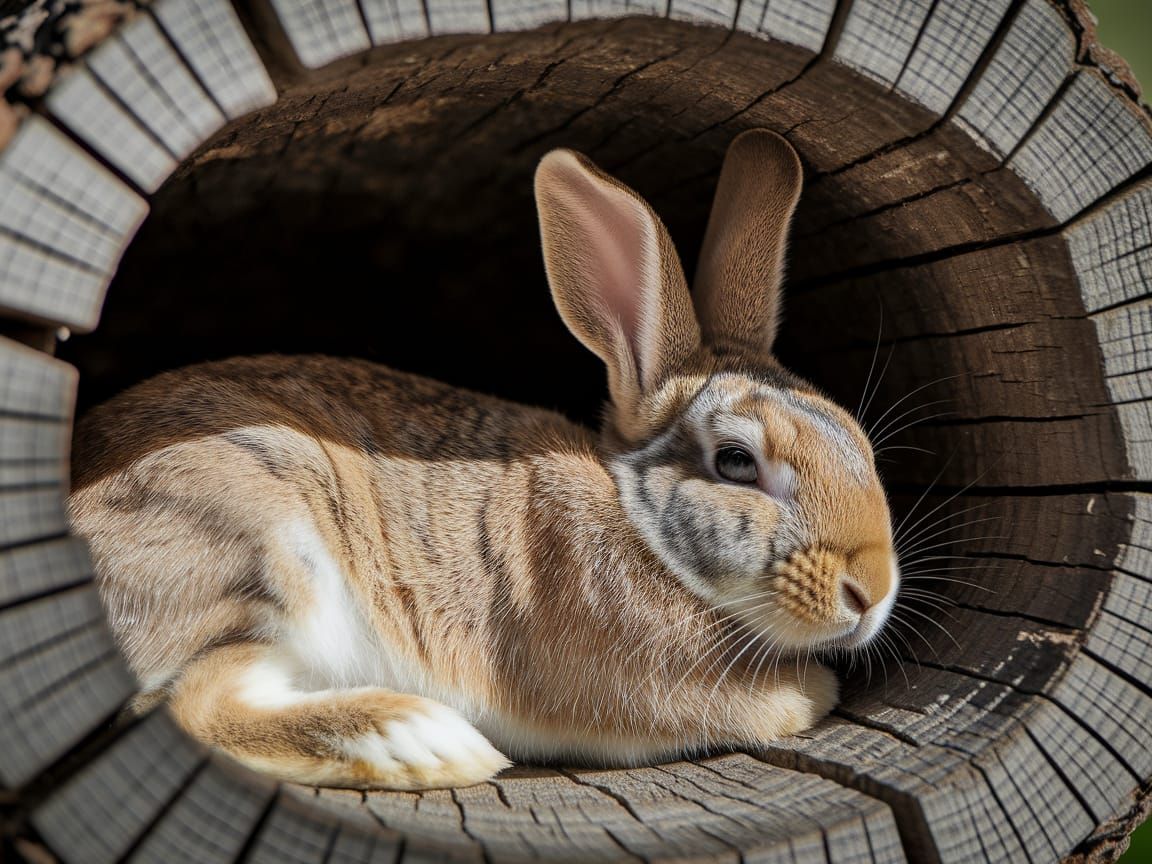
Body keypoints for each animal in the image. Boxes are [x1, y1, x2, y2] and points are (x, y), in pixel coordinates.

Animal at [68, 129, 899, 791]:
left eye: (858, 442)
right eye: (735, 462)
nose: (872, 589)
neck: (638, 524)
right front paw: (813, 695)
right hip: (261, 533)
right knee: (192, 705)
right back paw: (425, 741)